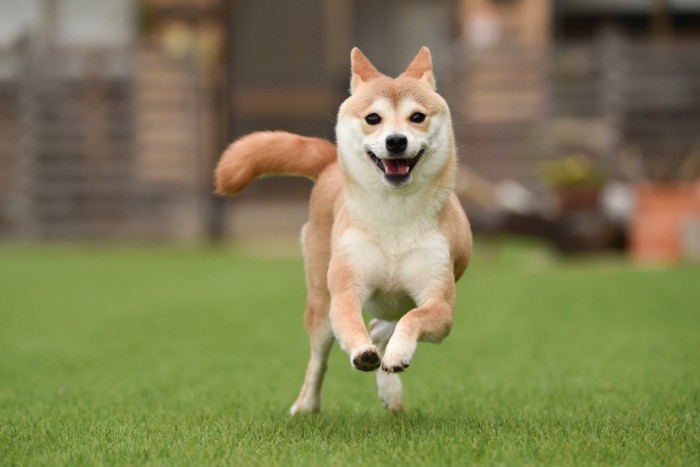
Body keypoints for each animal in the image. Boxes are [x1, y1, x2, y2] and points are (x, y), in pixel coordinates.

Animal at [216, 46, 474, 414]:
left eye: (417, 117)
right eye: (373, 119)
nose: (396, 141)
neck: (394, 215)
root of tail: (328, 165)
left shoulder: (439, 302)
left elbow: (414, 320)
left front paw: (397, 353)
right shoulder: (345, 290)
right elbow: (351, 322)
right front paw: (363, 353)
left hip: (398, 301)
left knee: (384, 326)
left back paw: (389, 384)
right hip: (320, 300)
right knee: (320, 356)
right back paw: (307, 405)